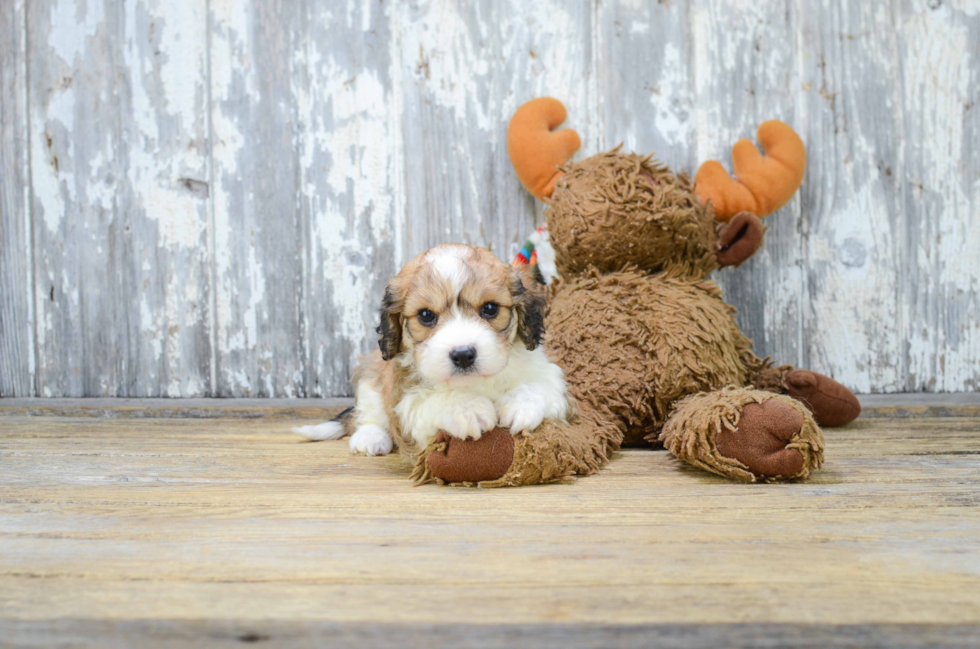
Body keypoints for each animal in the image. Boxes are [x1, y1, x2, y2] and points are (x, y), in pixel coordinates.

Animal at [292, 243, 568, 456]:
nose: (463, 355)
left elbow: (540, 384)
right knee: (371, 410)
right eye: (426, 315)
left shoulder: (549, 374)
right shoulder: (405, 399)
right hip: (373, 372)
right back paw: (370, 437)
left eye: (490, 309)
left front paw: (520, 406)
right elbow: (434, 399)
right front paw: (468, 409)